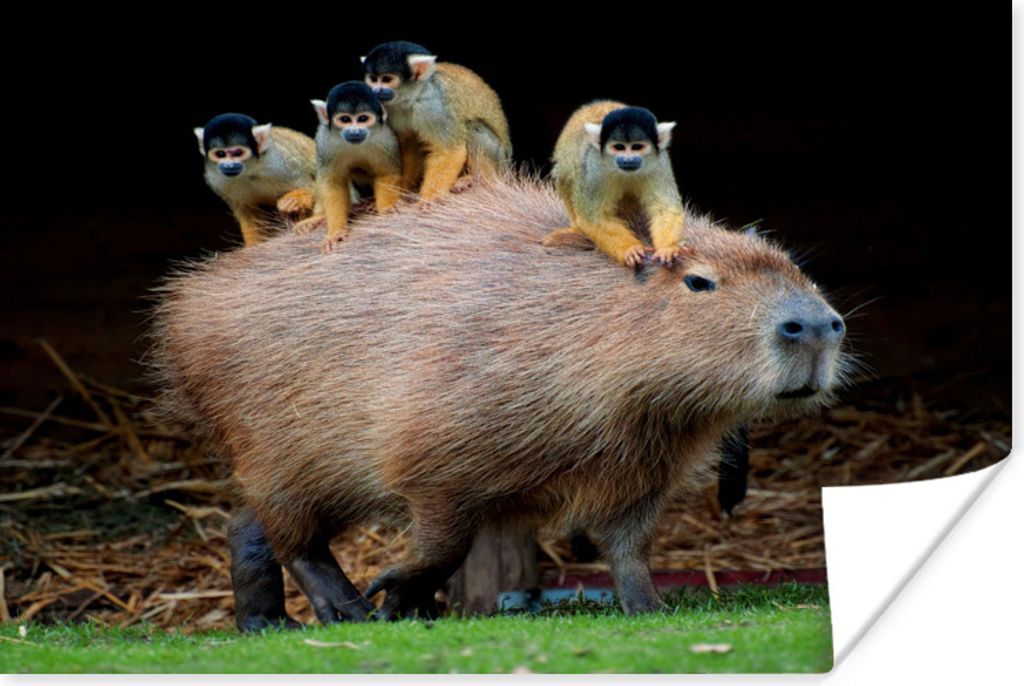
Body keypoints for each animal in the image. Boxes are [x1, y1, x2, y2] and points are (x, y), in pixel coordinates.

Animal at [194, 113, 316, 246]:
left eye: (237, 153)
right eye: (220, 154)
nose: (229, 166)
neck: (249, 171)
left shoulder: (279, 164)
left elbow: (313, 184)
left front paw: (294, 200)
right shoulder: (216, 180)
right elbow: (249, 212)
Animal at [306, 82, 403, 251]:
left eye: (362, 118)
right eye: (345, 119)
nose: (355, 131)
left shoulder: (385, 138)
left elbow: (386, 173)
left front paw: (387, 209)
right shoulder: (325, 141)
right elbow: (332, 183)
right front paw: (336, 232)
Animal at [361, 41, 511, 200]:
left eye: (386, 79)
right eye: (373, 79)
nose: (375, 91)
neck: (412, 97)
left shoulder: (433, 106)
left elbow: (449, 151)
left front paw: (428, 200)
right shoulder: (390, 109)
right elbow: (410, 148)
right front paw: (402, 189)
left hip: (500, 161)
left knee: (473, 128)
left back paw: (481, 179)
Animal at [543, 101, 689, 268]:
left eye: (637, 147)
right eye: (619, 147)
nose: (627, 159)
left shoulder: (660, 163)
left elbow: (665, 209)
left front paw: (668, 248)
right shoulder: (595, 167)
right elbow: (594, 217)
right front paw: (630, 249)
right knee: (567, 174)